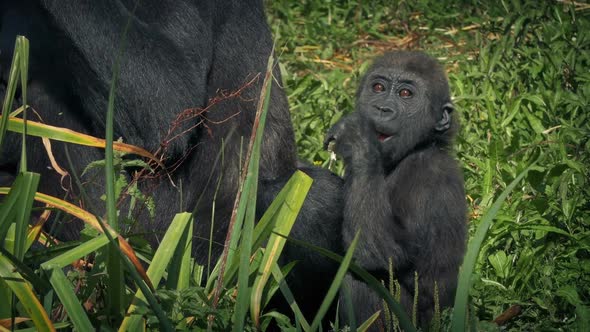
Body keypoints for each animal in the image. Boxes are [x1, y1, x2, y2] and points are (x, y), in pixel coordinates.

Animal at [326, 50, 470, 328]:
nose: (382, 108)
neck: (417, 148)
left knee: (364, 277)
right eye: (378, 88)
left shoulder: (427, 176)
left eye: (405, 94)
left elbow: (383, 253)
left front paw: (358, 139)